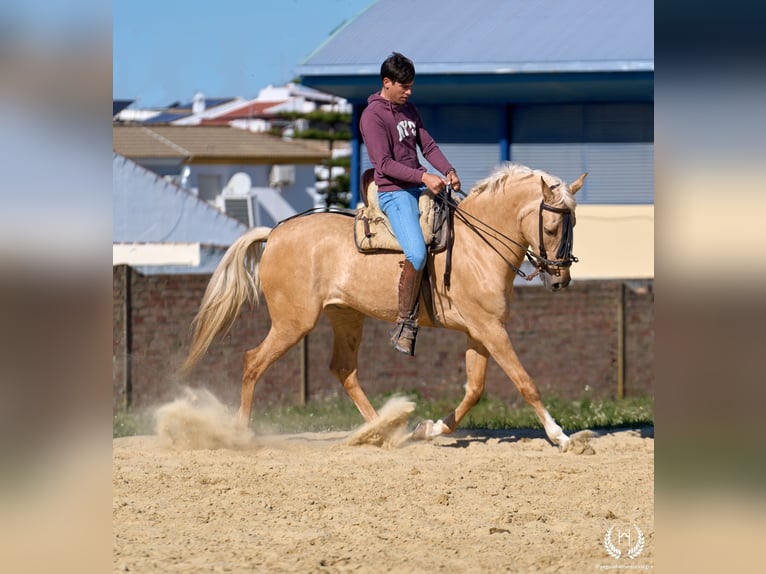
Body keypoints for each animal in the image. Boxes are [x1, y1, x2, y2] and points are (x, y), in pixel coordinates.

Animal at [183, 162, 587, 451]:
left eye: (574, 224)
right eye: (551, 227)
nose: (560, 280)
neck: (477, 246)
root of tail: (275, 233)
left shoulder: (480, 332)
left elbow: (474, 390)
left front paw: (428, 429)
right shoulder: (490, 329)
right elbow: (525, 383)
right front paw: (562, 437)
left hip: (346, 317)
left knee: (343, 370)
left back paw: (384, 431)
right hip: (292, 323)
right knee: (253, 362)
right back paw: (239, 434)